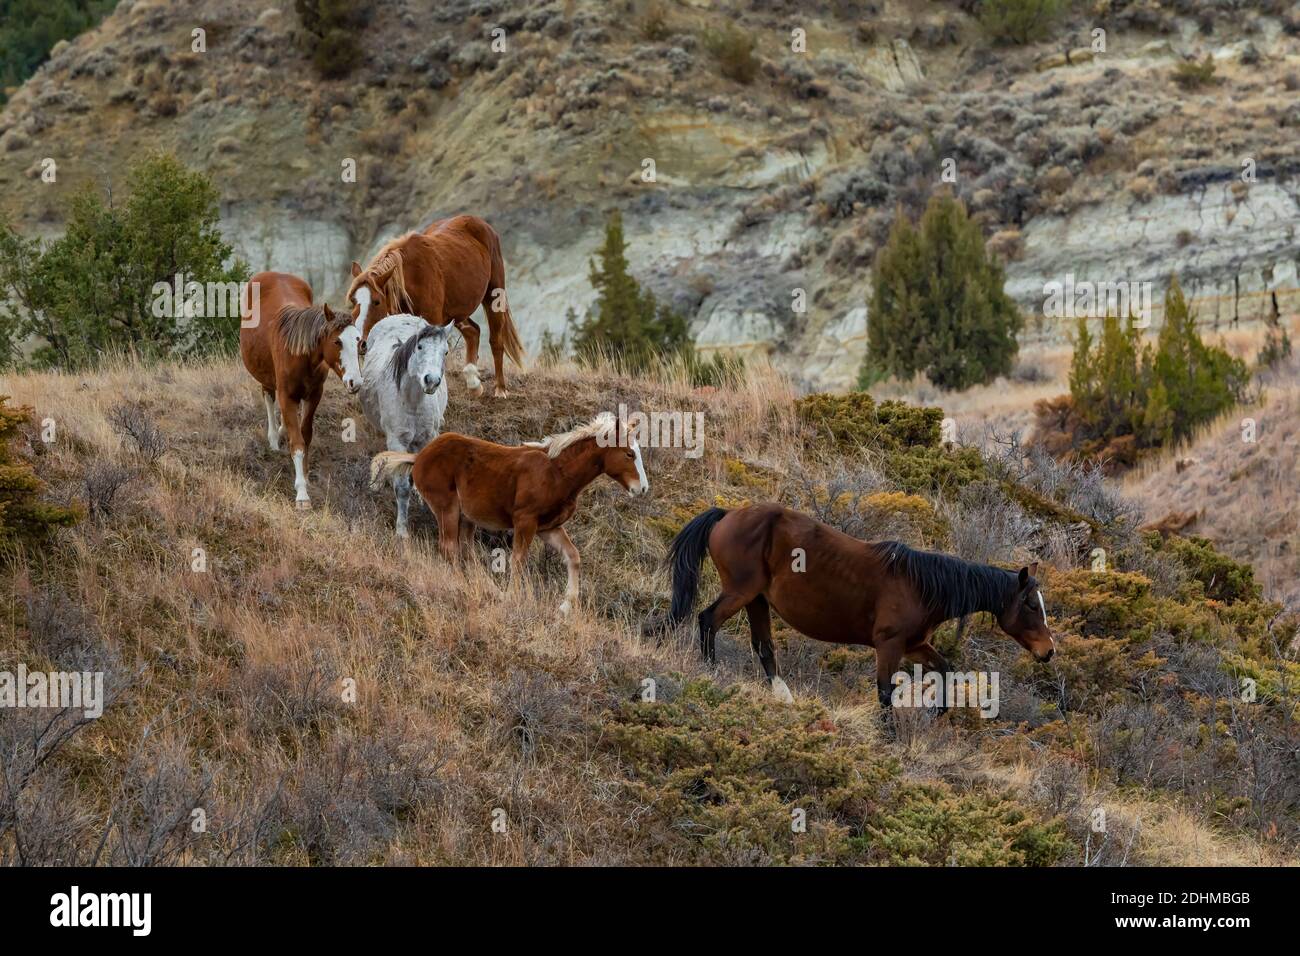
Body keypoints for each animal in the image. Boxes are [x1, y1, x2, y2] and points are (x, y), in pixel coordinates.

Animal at [237, 269, 361, 509]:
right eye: (337, 342)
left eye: (359, 341)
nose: (355, 382)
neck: (301, 354)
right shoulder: (287, 396)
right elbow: (297, 442)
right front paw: (302, 494)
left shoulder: (314, 396)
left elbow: (306, 435)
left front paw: (303, 476)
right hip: (266, 377)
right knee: (268, 396)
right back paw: (274, 437)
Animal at [351, 214, 527, 398]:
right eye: (353, 300)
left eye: (377, 301)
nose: (360, 343)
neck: (413, 275)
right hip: (455, 311)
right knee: (473, 331)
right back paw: (473, 383)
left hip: (494, 295)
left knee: (496, 341)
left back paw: (500, 389)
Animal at [361, 316, 452, 535]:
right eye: (419, 346)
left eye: (445, 351)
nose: (431, 381)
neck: (413, 401)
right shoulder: (397, 441)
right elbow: (402, 487)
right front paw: (401, 531)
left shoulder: (427, 437)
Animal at [366, 416, 650, 616]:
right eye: (629, 453)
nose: (642, 489)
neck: (558, 472)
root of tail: (418, 456)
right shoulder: (525, 521)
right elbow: (518, 560)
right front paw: (513, 598)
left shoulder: (548, 527)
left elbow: (573, 557)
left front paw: (566, 607)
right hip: (447, 508)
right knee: (449, 548)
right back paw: (463, 586)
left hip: (467, 518)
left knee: (466, 551)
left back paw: (485, 588)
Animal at [665, 502, 1050, 712]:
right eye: (1031, 605)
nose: (1049, 651)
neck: (921, 586)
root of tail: (727, 514)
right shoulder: (889, 645)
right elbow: (884, 693)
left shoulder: (914, 645)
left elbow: (944, 668)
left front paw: (939, 711)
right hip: (740, 593)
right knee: (708, 620)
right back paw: (711, 672)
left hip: (756, 601)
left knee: (763, 646)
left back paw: (782, 695)